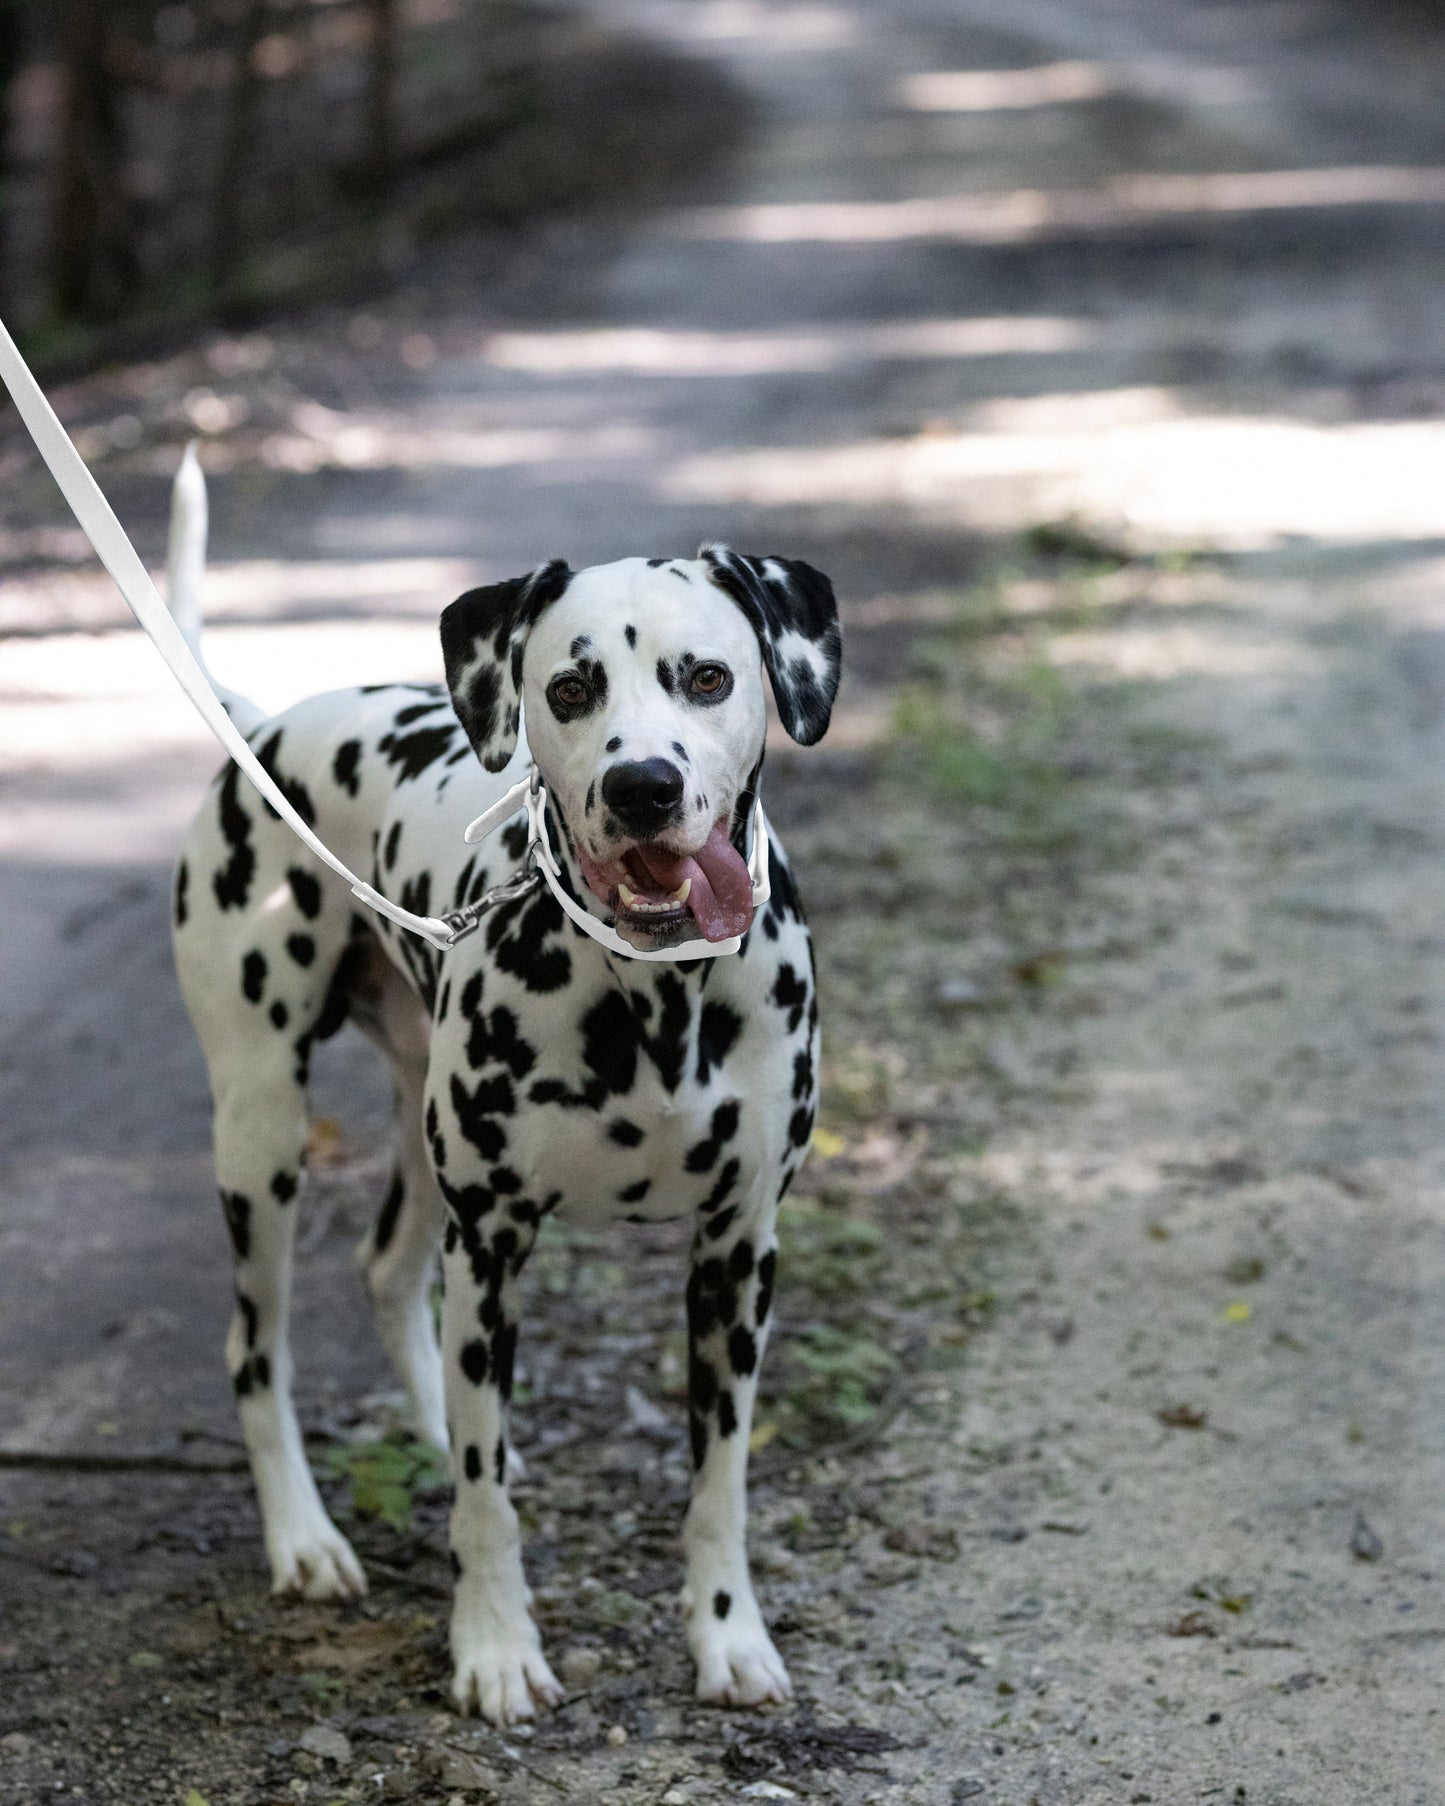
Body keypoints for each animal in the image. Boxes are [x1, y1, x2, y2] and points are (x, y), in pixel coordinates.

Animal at [170, 458, 841, 1726]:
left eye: (708, 676)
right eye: (569, 687)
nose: (642, 786)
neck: (651, 991)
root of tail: (264, 724)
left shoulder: (740, 1253)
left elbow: (718, 1483)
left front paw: (727, 1636)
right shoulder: (490, 1248)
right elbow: (484, 1508)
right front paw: (490, 1647)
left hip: (413, 1133)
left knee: (388, 1276)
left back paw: (432, 1431)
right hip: (260, 1135)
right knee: (253, 1349)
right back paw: (304, 1539)